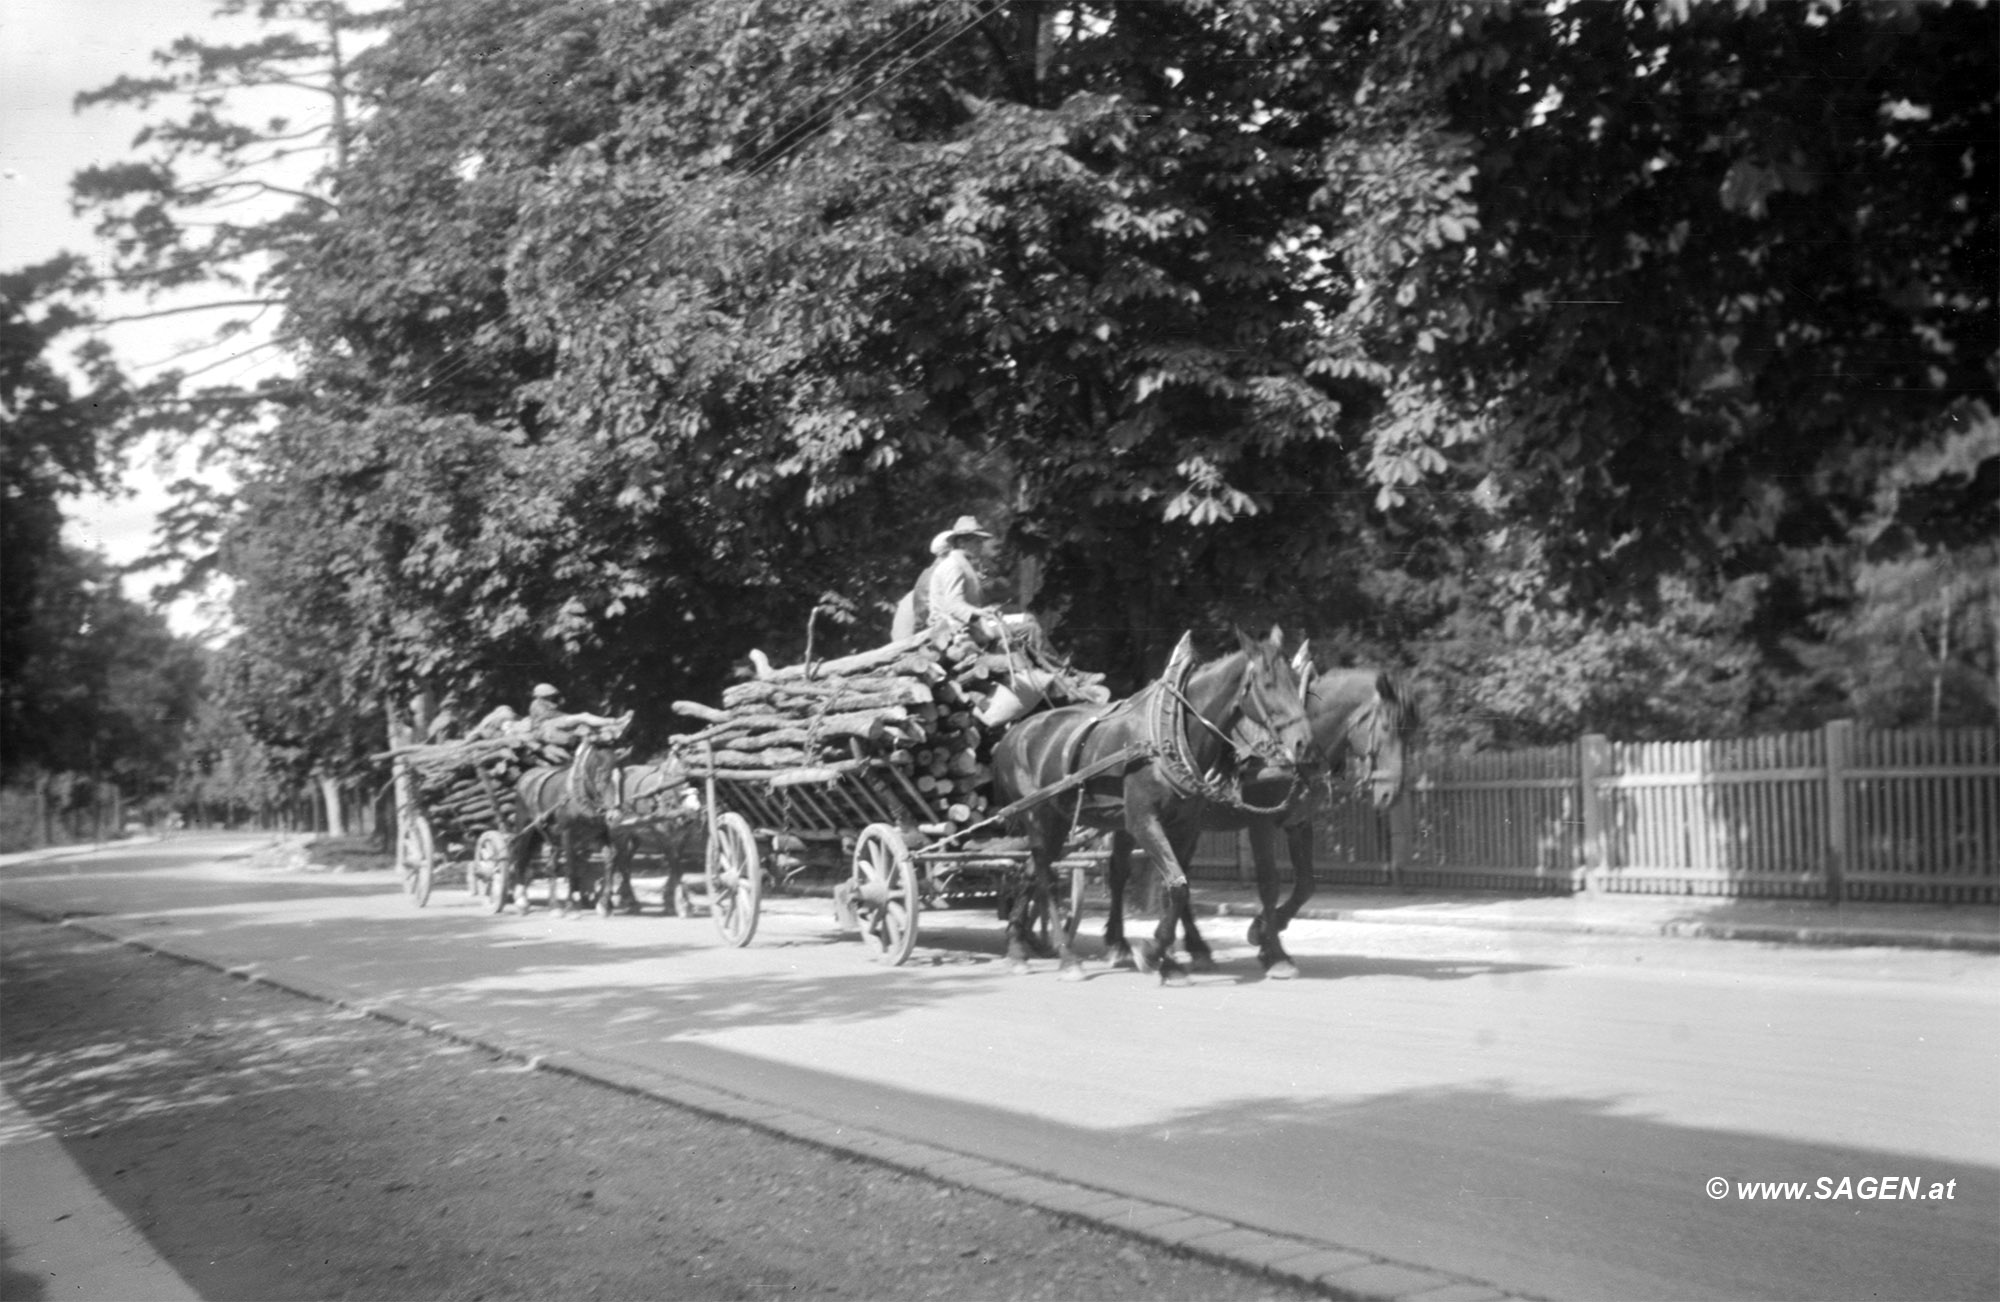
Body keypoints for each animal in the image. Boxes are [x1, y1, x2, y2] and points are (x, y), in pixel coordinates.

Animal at [508, 732, 624, 916]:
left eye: (622, 778)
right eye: (603, 777)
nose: (616, 816)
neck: (580, 793)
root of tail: (525, 776)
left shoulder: (598, 834)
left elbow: (610, 857)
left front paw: (604, 904)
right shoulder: (567, 833)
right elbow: (571, 867)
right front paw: (572, 905)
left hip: (543, 836)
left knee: (550, 866)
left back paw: (554, 906)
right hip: (526, 830)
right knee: (521, 859)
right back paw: (522, 901)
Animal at [996, 628, 1320, 984]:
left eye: (1300, 683)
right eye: (1268, 683)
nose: (1304, 745)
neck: (1169, 734)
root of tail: (1013, 735)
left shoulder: (1189, 825)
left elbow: (1178, 887)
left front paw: (1169, 960)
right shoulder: (1148, 821)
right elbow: (1183, 885)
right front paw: (1154, 953)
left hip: (1074, 823)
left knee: (1046, 872)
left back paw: (1033, 947)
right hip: (1041, 819)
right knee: (1045, 878)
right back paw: (1064, 957)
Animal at [1104, 652, 1416, 976]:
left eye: (1412, 732)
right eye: (1387, 727)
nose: (1391, 793)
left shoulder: (1298, 823)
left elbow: (1306, 885)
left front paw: (1264, 932)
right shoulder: (1261, 823)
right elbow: (1269, 883)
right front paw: (1274, 952)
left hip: (1183, 826)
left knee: (1172, 875)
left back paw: (1195, 947)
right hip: (1133, 820)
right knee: (1120, 872)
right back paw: (1120, 945)